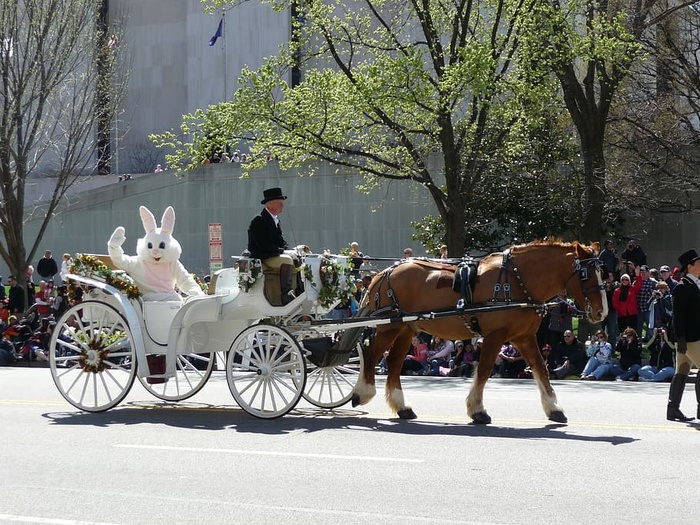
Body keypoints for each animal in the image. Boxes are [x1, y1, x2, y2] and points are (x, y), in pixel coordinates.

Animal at [350, 239, 608, 424]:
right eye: (585, 274)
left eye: (603, 272)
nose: (601, 312)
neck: (517, 281)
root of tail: (384, 272)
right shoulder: (496, 335)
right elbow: (484, 370)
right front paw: (477, 410)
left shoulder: (524, 337)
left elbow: (541, 369)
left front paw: (554, 409)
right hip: (389, 327)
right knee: (371, 356)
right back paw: (362, 393)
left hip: (405, 328)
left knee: (393, 363)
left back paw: (402, 407)